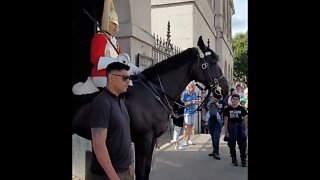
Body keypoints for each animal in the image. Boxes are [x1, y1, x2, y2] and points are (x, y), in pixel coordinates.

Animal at [73, 34, 228, 179]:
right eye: (213, 62)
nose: (225, 89)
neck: (155, 93)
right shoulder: (143, 139)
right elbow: (140, 171)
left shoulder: (152, 140)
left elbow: (146, 170)